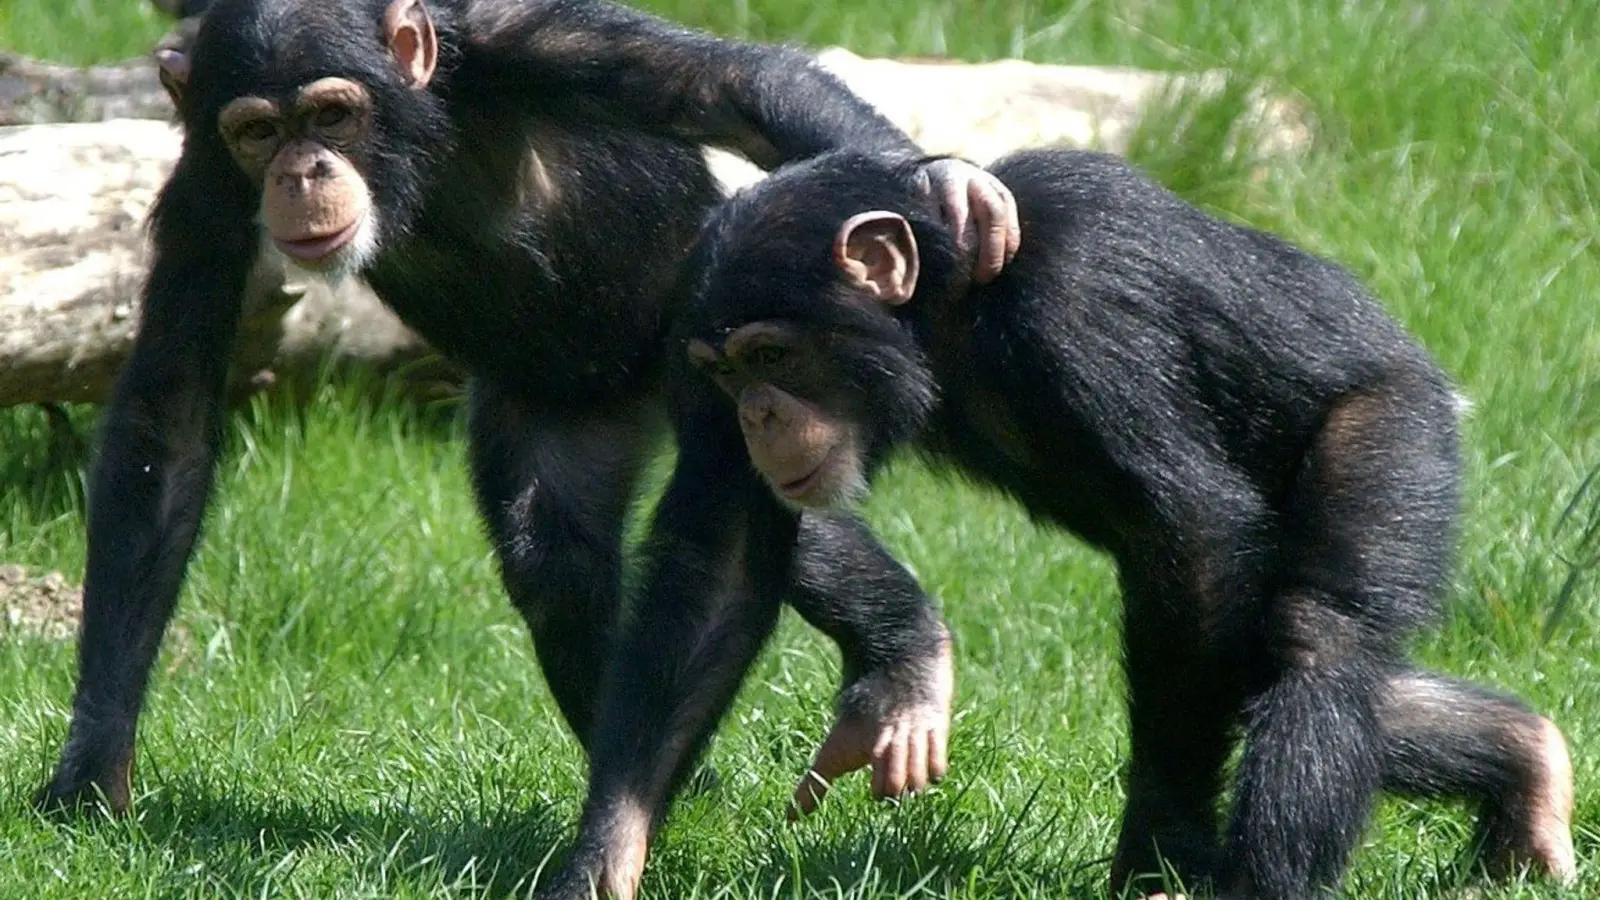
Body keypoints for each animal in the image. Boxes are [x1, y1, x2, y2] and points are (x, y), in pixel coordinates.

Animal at [31, 0, 1017, 845]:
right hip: (558, 403)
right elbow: (169, 412)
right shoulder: (204, 175)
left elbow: (728, 86)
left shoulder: (527, 42)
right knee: (555, 556)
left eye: (332, 114)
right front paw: (94, 768)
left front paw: (953, 192)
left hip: (738, 361)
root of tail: (631, 383)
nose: (300, 171)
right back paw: (680, 785)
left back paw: (900, 654)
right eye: (258, 131)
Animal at [547, 147, 1574, 896]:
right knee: (1276, 663)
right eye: (725, 371)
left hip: (1396, 425)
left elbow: (1193, 529)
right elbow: (721, 569)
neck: (948, 315)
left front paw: (1160, 851)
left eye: (774, 355)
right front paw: (609, 858)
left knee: (1315, 640)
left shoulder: (1072, 311)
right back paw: (1527, 766)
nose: (756, 414)